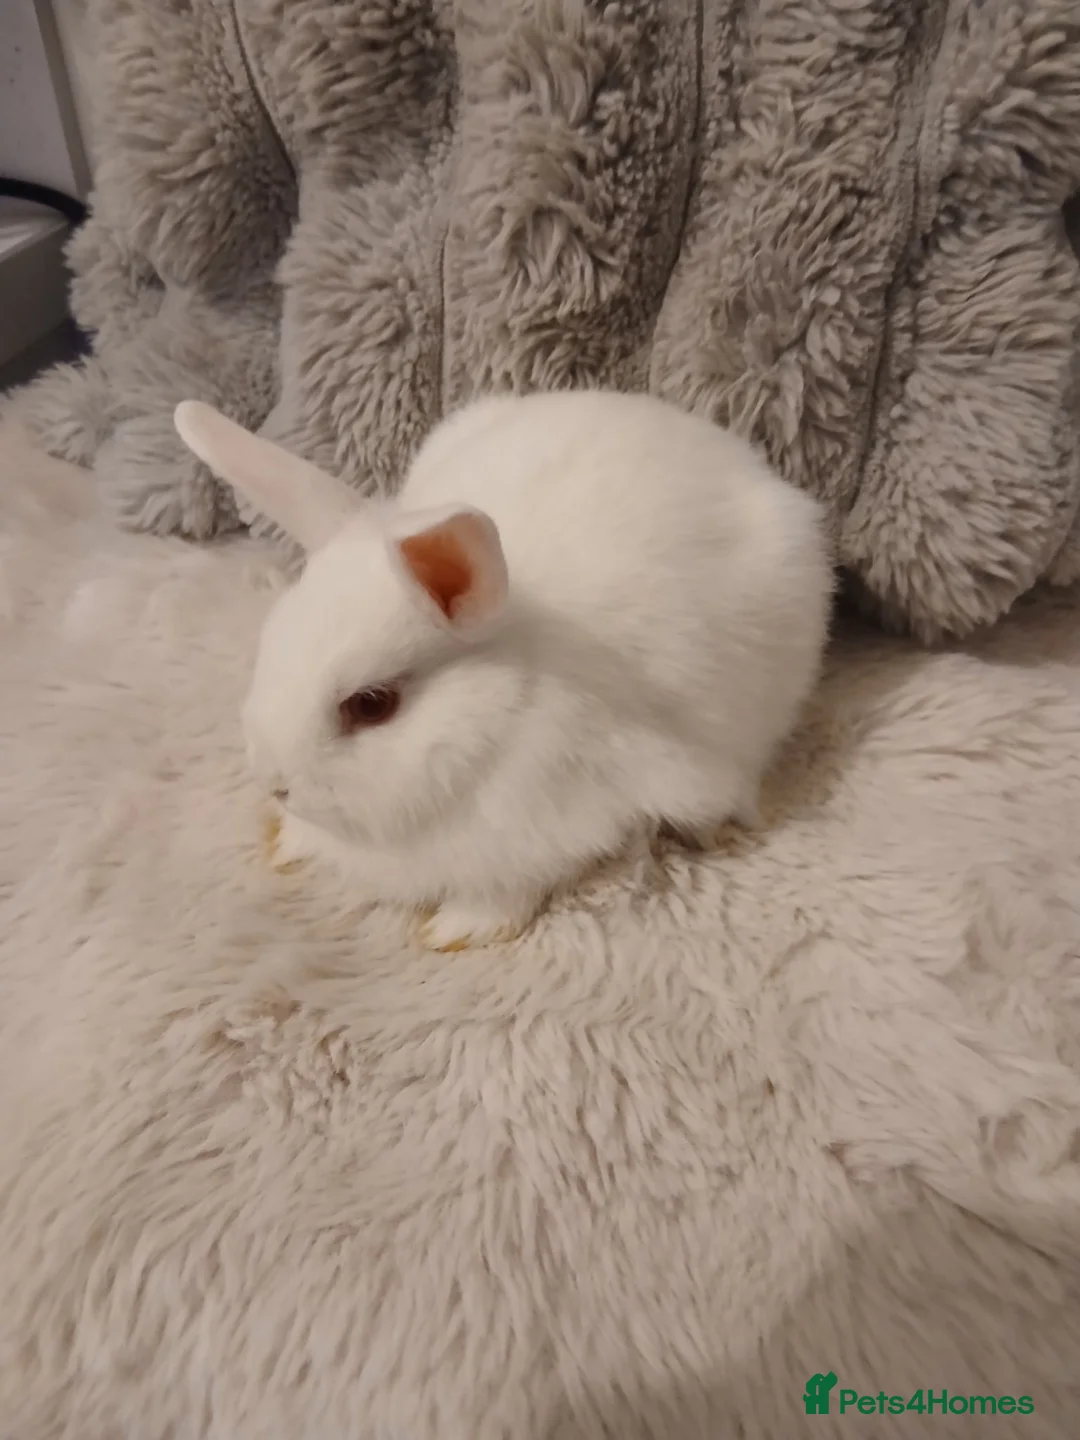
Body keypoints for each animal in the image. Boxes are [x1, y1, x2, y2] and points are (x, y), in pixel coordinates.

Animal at [174, 389, 832, 951]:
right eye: (270, 646)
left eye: (371, 704)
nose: (275, 783)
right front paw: (286, 843)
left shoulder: (564, 822)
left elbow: (513, 887)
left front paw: (456, 930)